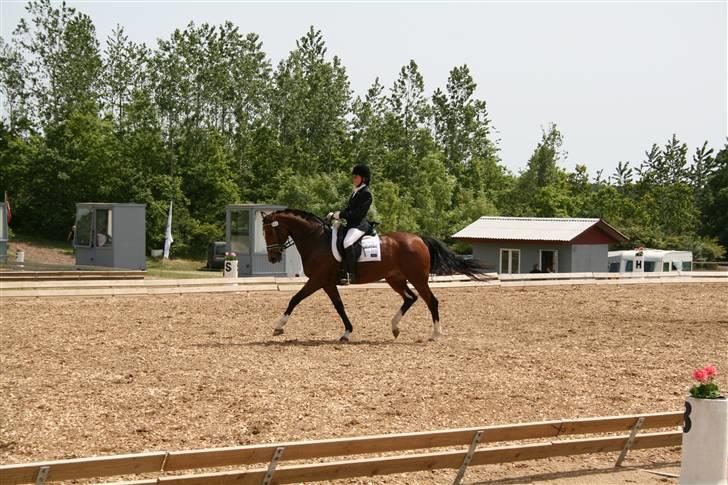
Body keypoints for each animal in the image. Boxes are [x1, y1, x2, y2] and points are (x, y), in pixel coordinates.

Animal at [262, 210, 490, 342]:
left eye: (270, 232)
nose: (273, 258)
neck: (317, 240)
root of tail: (419, 239)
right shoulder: (327, 282)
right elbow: (339, 306)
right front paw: (347, 332)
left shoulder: (317, 280)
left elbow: (295, 299)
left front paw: (278, 327)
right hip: (395, 279)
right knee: (411, 298)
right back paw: (395, 327)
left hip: (417, 278)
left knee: (431, 300)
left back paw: (435, 335)